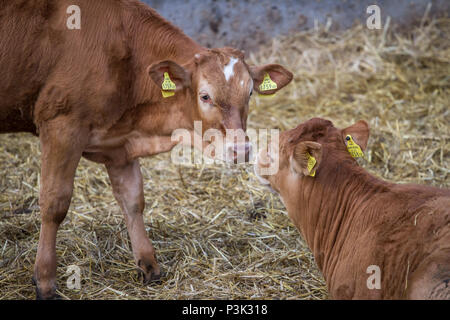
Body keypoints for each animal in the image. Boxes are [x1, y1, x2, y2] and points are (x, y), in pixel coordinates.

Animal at [0, 0, 294, 300]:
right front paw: (45, 280)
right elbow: (54, 204)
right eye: (205, 96)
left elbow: (132, 200)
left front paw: (148, 264)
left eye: (249, 93)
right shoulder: (61, 126)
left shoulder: (119, 145)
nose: (241, 149)